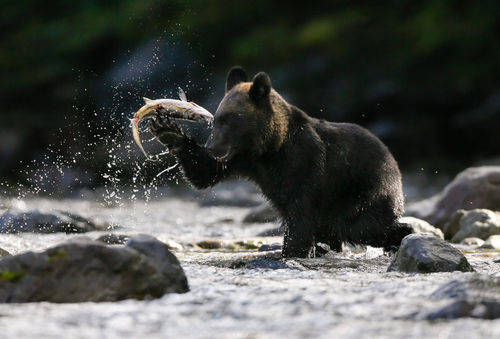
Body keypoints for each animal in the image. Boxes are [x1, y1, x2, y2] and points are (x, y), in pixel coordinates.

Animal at [149, 66, 414, 258]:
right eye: (216, 121)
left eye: (231, 120)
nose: (213, 147)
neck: (270, 148)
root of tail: (394, 162)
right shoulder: (244, 161)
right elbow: (204, 173)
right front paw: (167, 128)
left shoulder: (305, 165)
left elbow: (300, 217)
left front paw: (289, 253)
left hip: (363, 190)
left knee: (358, 224)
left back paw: (401, 236)